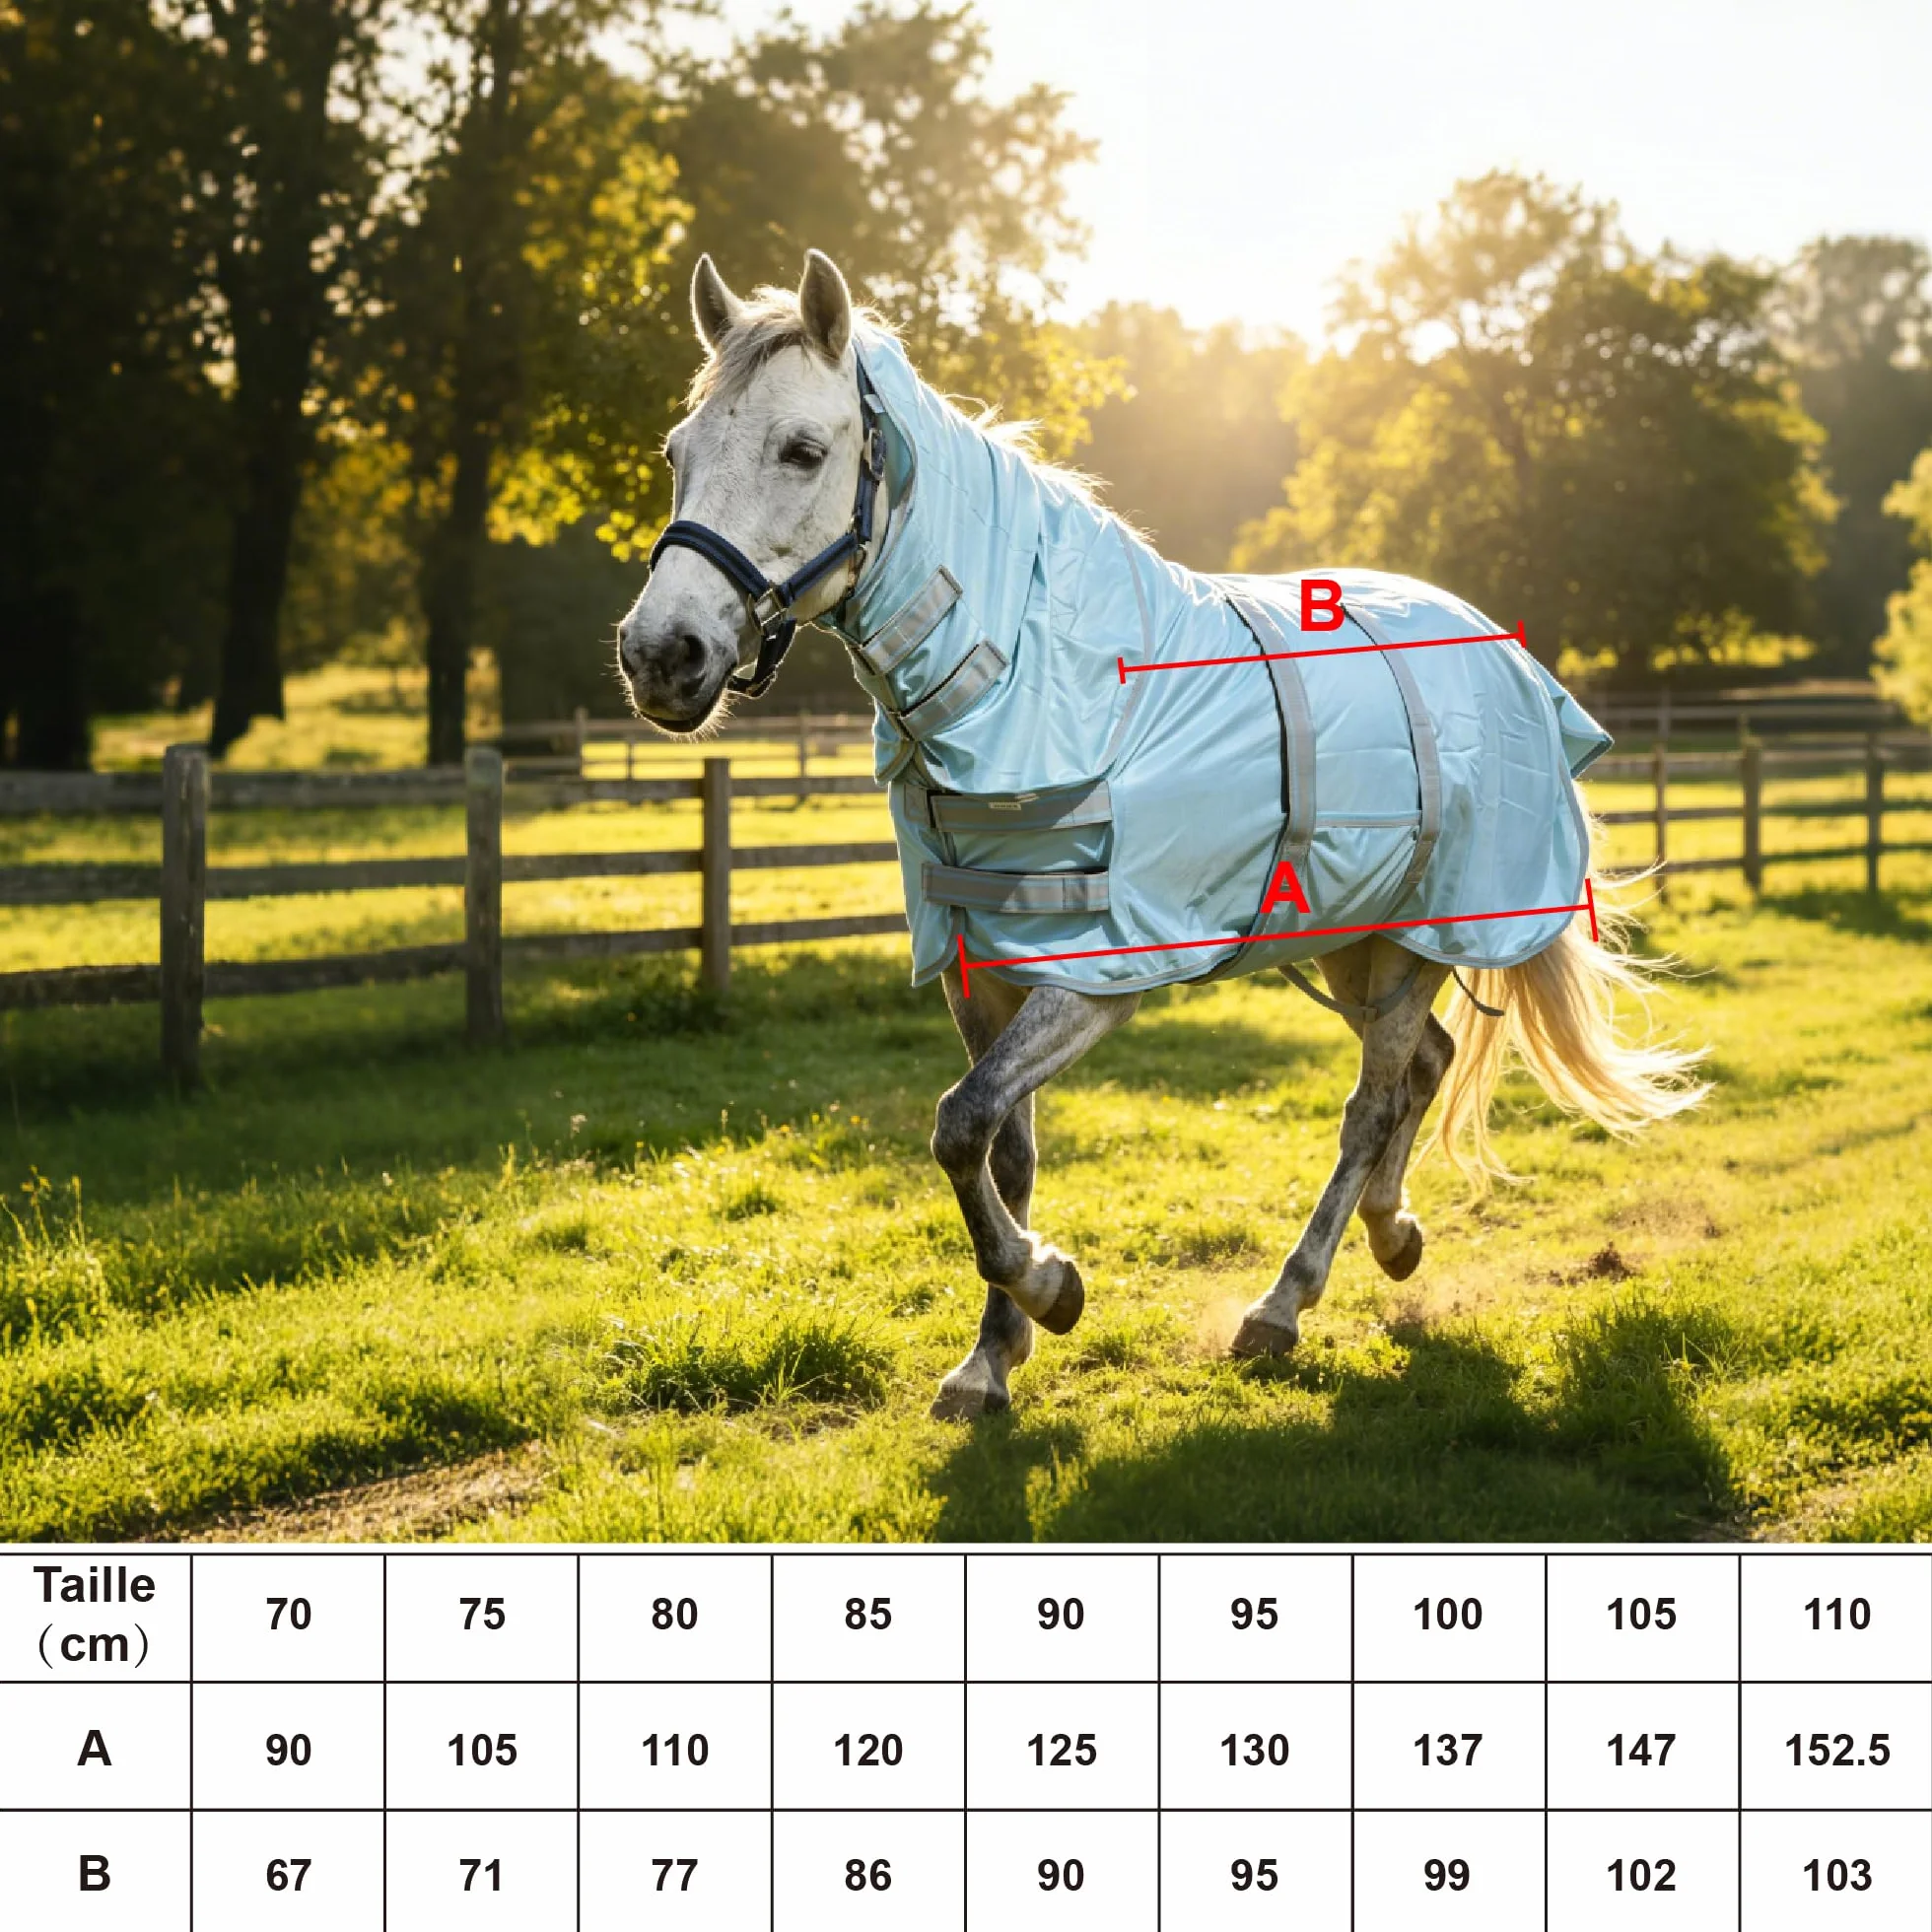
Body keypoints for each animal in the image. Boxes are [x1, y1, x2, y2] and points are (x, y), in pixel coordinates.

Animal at [618, 248, 1707, 1421]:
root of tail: (1495, 646)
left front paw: (1049, 1287)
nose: (661, 655)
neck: (1043, 681)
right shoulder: (980, 972)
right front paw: (990, 1359)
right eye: (679, 452)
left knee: (1371, 1102)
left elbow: (960, 1124)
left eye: (802, 450)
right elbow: (997, 1149)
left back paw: (1282, 1304)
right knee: (1425, 1065)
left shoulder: (1096, 975)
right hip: (1359, 939)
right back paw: (1392, 1234)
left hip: (1419, 936)